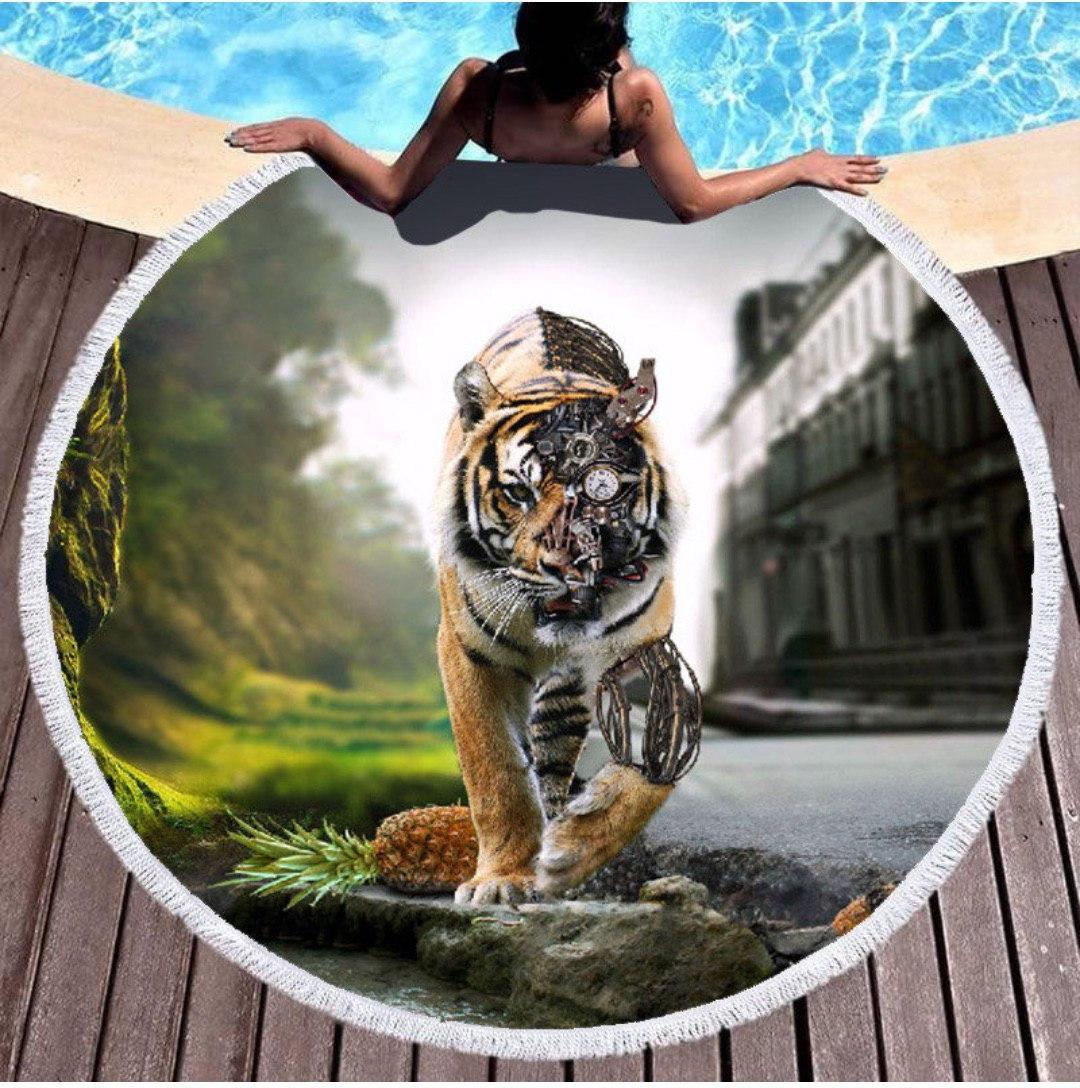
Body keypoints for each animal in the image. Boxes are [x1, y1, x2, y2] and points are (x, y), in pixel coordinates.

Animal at [434, 307, 690, 905]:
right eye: (518, 493)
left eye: (602, 489)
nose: (567, 565)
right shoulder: (467, 653)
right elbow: (495, 771)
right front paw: (501, 879)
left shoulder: (647, 655)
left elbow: (649, 771)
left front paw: (572, 850)